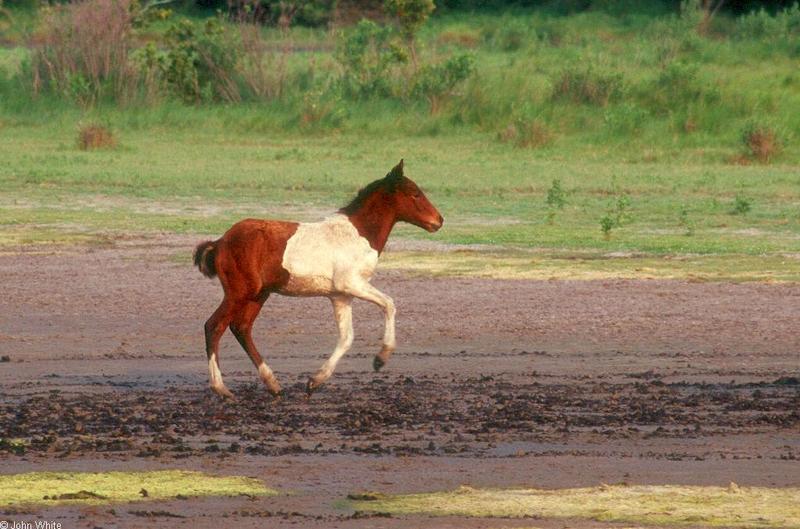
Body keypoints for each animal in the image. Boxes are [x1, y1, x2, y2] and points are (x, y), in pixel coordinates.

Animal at [194, 159, 444, 398]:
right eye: (415, 193)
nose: (439, 220)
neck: (358, 235)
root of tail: (220, 242)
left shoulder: (341, 296)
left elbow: (346, 337)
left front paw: (315, 381)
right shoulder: (352, 283)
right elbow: (389, 304)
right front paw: (380, 359)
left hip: (258, 295)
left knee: (241, 328)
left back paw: (273, 384)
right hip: (239, 293)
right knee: (214, 326)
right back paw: (222, 389)